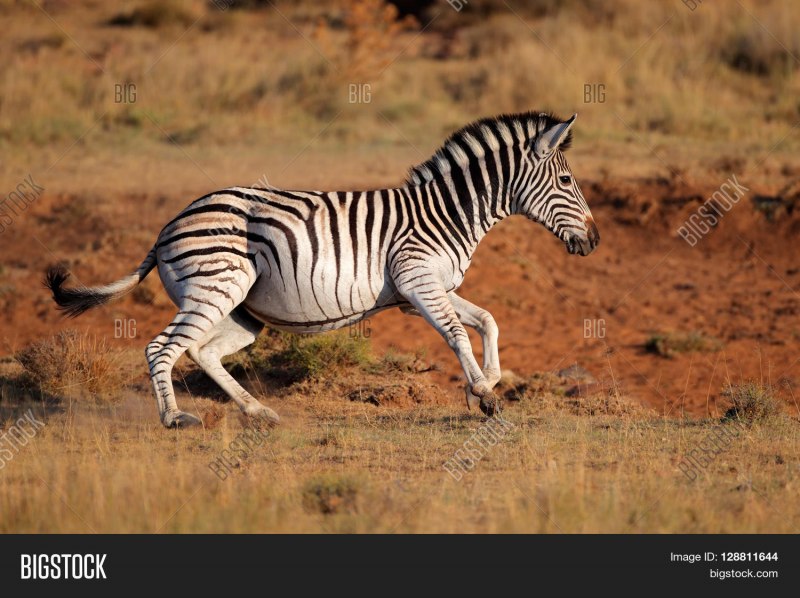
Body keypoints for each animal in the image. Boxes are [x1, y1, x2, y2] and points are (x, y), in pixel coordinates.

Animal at [46, 111, 599, 428]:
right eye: (566, 181)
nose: (594, 241)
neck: (444, 212)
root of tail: (167, 227)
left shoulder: (423, 290)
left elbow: (487, 320)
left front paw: (485, 382)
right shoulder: (417, 279)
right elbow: (457, 333)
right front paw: (483, 394)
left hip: (240, 311)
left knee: (203, 352)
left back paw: (257, 412)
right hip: (215, 288)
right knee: (162, 348)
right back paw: (175, 418)